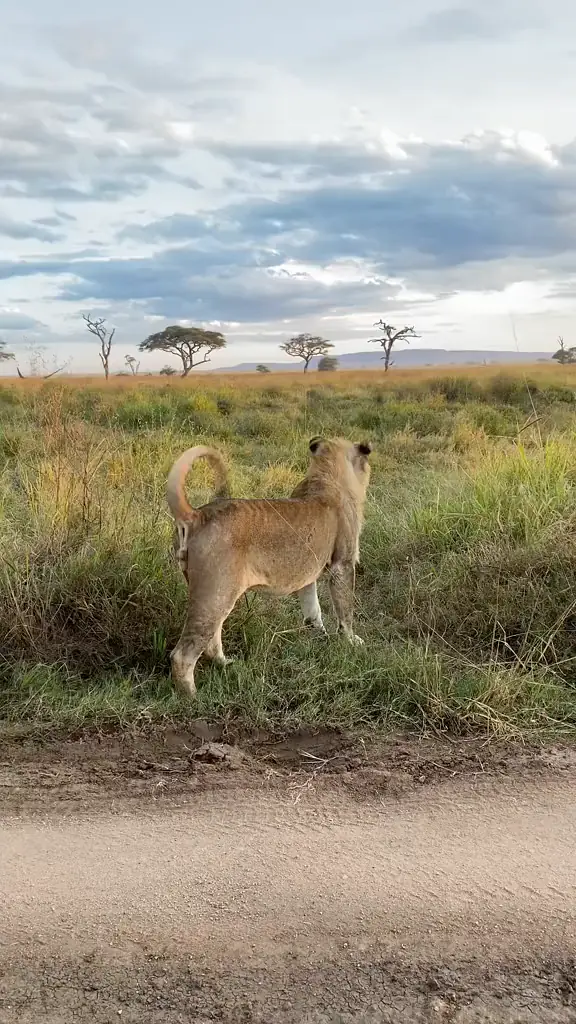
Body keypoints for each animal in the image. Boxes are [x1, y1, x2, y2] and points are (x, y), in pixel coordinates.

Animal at [166, 436, 372, 695]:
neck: (325, 473)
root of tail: (196, 516)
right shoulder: (342, 565)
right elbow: (345, 610)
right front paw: (351, 642)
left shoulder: (308, 571)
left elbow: (313, 608)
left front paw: (319, 634)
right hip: (215, 593)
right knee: (182, 655)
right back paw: (192, 696)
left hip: (215, 593)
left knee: (212, 639)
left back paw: (227, 664)